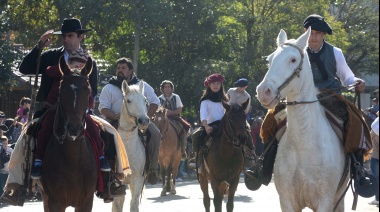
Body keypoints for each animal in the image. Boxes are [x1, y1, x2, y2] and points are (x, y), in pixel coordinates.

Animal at [37, 55, 98, 211]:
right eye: (62, 90)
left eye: (87, 90)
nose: (74, 128)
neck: (73, 159)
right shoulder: (55, 202)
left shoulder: (86, 202)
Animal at [112, 80, 149, 212]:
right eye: (128, 100)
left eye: (145, 100)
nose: (144, 121)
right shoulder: (117, 181)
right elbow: (118, 204)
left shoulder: (137, 179)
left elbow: (134, 204)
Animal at [256, 28, 348, 212]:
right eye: (269, 60)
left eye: (293, 60)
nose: (264, 91)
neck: (304, 144)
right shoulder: (286, 201)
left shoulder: (325, 201)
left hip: (339, 197)